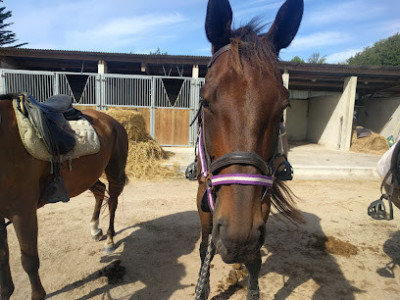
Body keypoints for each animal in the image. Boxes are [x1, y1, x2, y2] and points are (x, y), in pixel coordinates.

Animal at [0, 94, 127, 300]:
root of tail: (113, 120)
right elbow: (3, 257)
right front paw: (5, 292)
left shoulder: (23, 213)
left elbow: (29, 260)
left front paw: (38, 294)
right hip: (87, 176)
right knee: (100, 191)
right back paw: (94, 229)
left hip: (114, 171)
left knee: (113, 203)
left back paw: (109, 240)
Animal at [196, 0, 304, 300]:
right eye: (205, 102)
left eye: (284, 107)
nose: (238, 239)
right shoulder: (203, 194)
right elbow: (205, 248)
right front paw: (203, 286)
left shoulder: (262, 202)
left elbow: (255, 258)